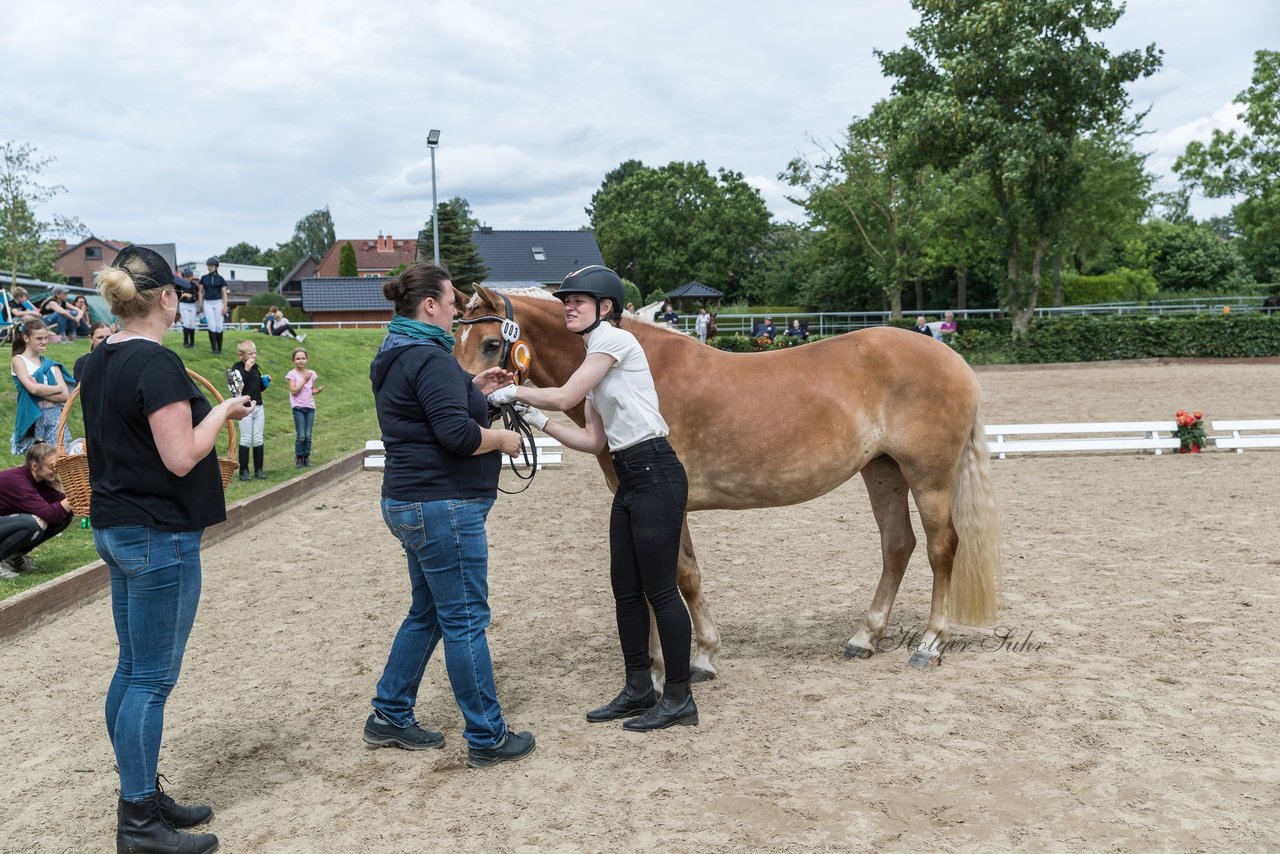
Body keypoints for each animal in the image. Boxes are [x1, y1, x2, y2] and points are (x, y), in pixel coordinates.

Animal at [455, 286, 1003, 676]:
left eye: (490, 343)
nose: (469, 408)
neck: (632, 366)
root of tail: (951, 357)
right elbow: (666, 578)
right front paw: (665, 659)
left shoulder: (668, 503)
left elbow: (682, 576)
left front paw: (693, 659)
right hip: (883, 471)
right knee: (897, 545)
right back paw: (864, 638)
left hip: (928, 477)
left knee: (941, 548)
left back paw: (930, 645)